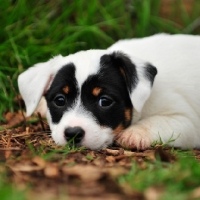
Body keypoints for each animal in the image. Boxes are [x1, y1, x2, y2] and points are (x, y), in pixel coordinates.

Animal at [17, 34, 200, 150]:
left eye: (104, 101)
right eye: (60, 100)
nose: (73, 134)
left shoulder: (187, 122)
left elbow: (158, 122)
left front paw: (135, 133)